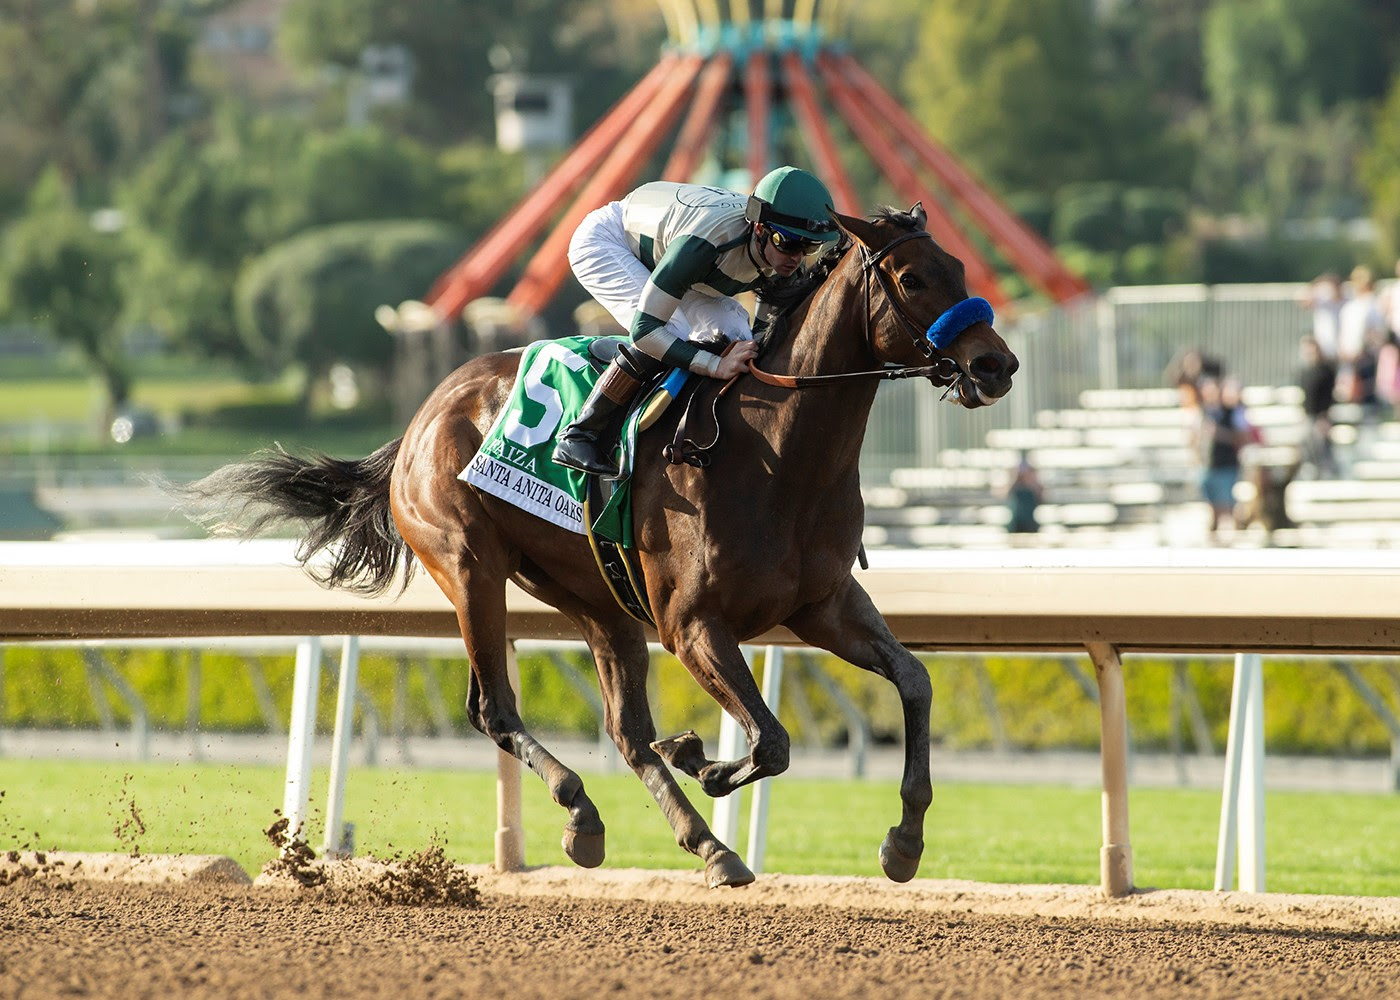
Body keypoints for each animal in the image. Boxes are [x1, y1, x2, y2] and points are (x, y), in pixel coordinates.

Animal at [183, 204, 1019, 890]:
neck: (779, 453)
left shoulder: (824, 605)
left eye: (962, 269)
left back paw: (700, 844)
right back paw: (589, 813)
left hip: (595, 599)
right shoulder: (691, 625)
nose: (997, 365)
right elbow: (773, 741)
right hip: (471, 567)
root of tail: (420, 420)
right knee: (495, 708)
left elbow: (913, 681)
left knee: (624, 731)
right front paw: (704, 758)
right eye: (912, 277)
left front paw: (903, 843)